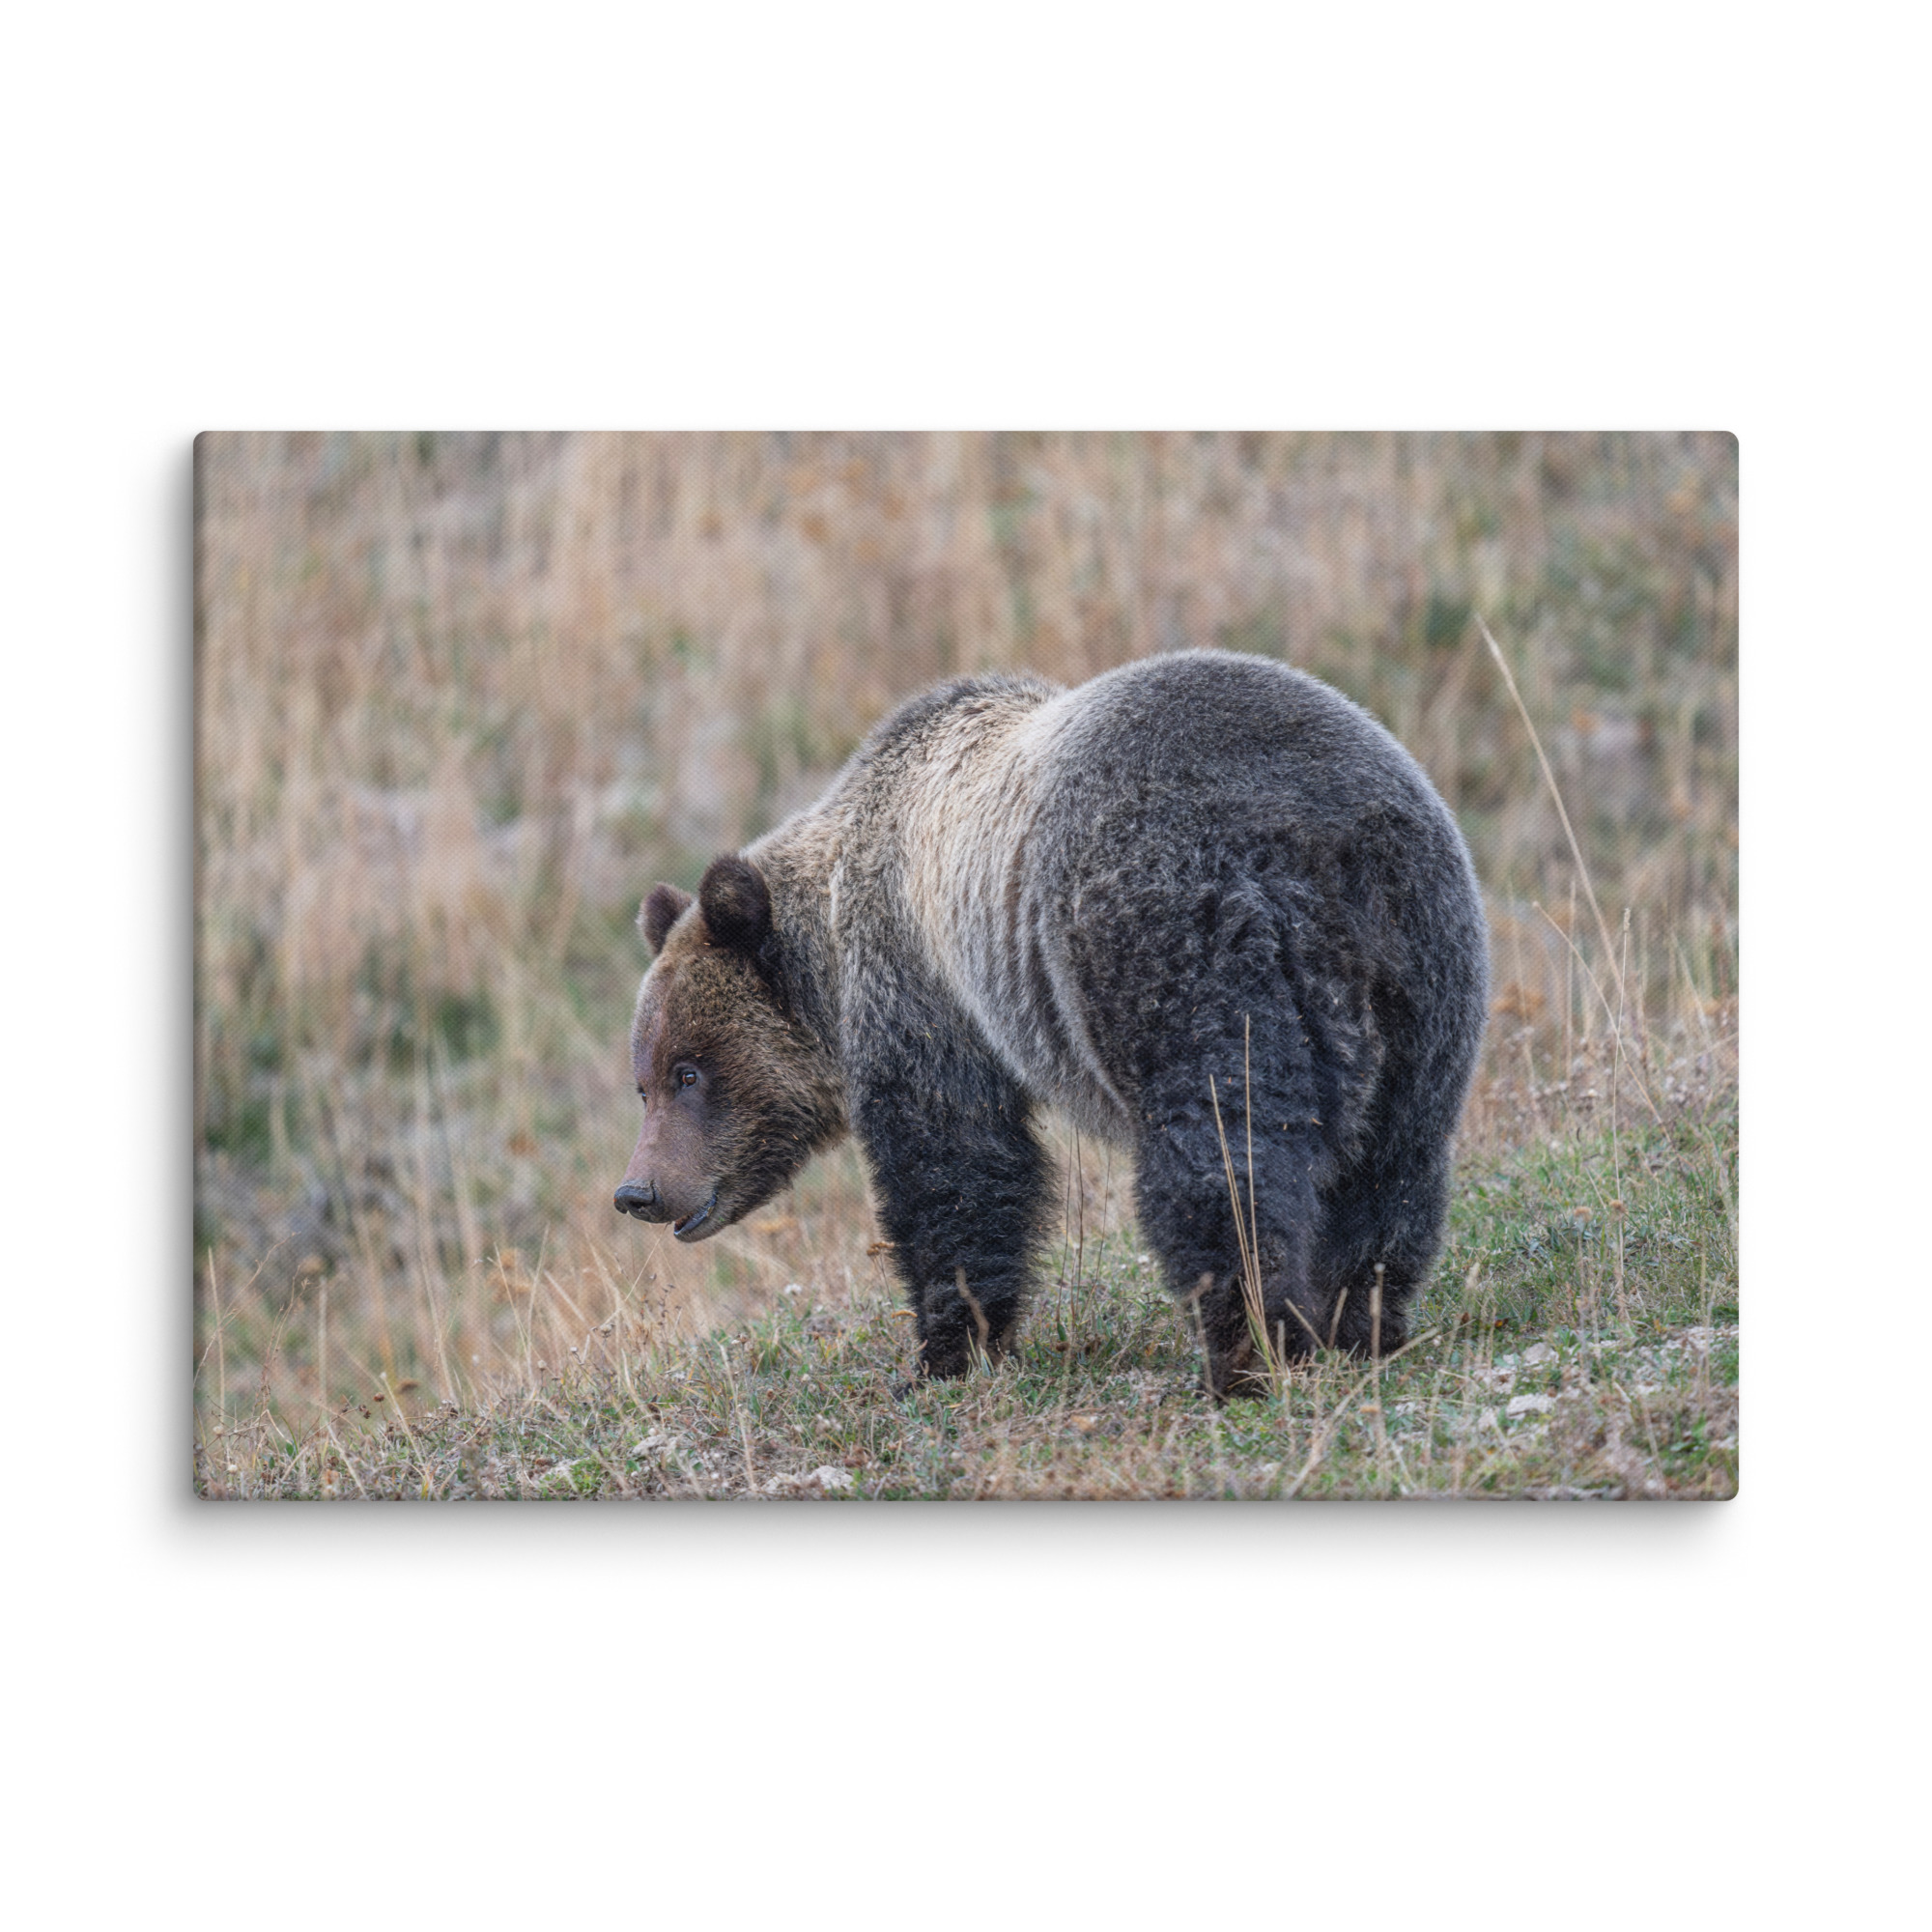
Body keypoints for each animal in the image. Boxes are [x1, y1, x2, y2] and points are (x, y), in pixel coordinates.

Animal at [614, 649, 1489, 1397]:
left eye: (689, 1071)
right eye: (644, 1081)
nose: (638, 1190)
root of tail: (1320, 842)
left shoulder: (924, 989)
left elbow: (956, 1166)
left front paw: (944, 1352)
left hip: (1177, 942)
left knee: (1223, 1157)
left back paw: (1246, 1353)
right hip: (1424, 969)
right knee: (1393, 1161)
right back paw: (1359, 1323)